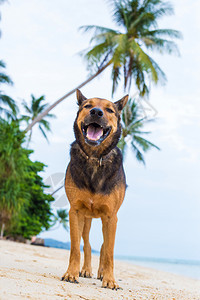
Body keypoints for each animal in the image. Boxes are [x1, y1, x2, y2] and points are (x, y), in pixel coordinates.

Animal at [61, 88, 129, 288]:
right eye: (87, 106)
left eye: (109, 110)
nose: (96, 112)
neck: (94, 157)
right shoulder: (75, 212)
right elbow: (76, 247)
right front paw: (71, 273)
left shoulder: (111, 217)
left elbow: (109, 252)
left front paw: (109, 279)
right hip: (86, 219)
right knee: (88, 244)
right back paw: (85, 270)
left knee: (104, 247)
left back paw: (101, 273)